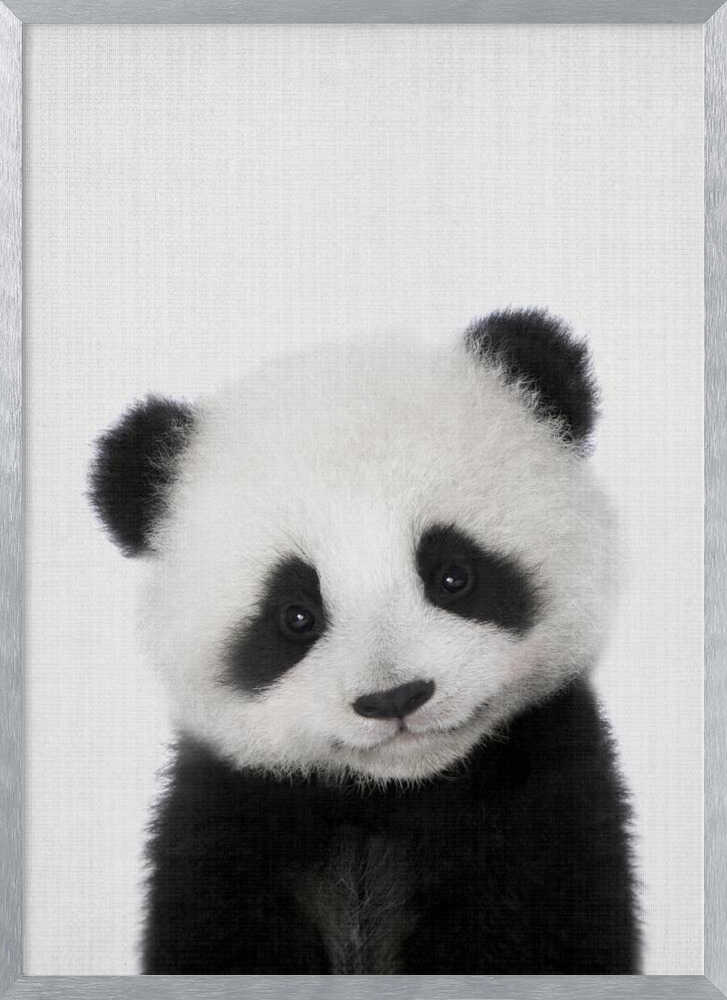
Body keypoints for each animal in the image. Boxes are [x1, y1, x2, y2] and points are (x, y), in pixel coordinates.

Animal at [89, 308, 639, 974]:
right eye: (296, 615)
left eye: (453, 575)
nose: (395, 698)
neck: (390, 798)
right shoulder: (228, 827)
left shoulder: (544, 807)